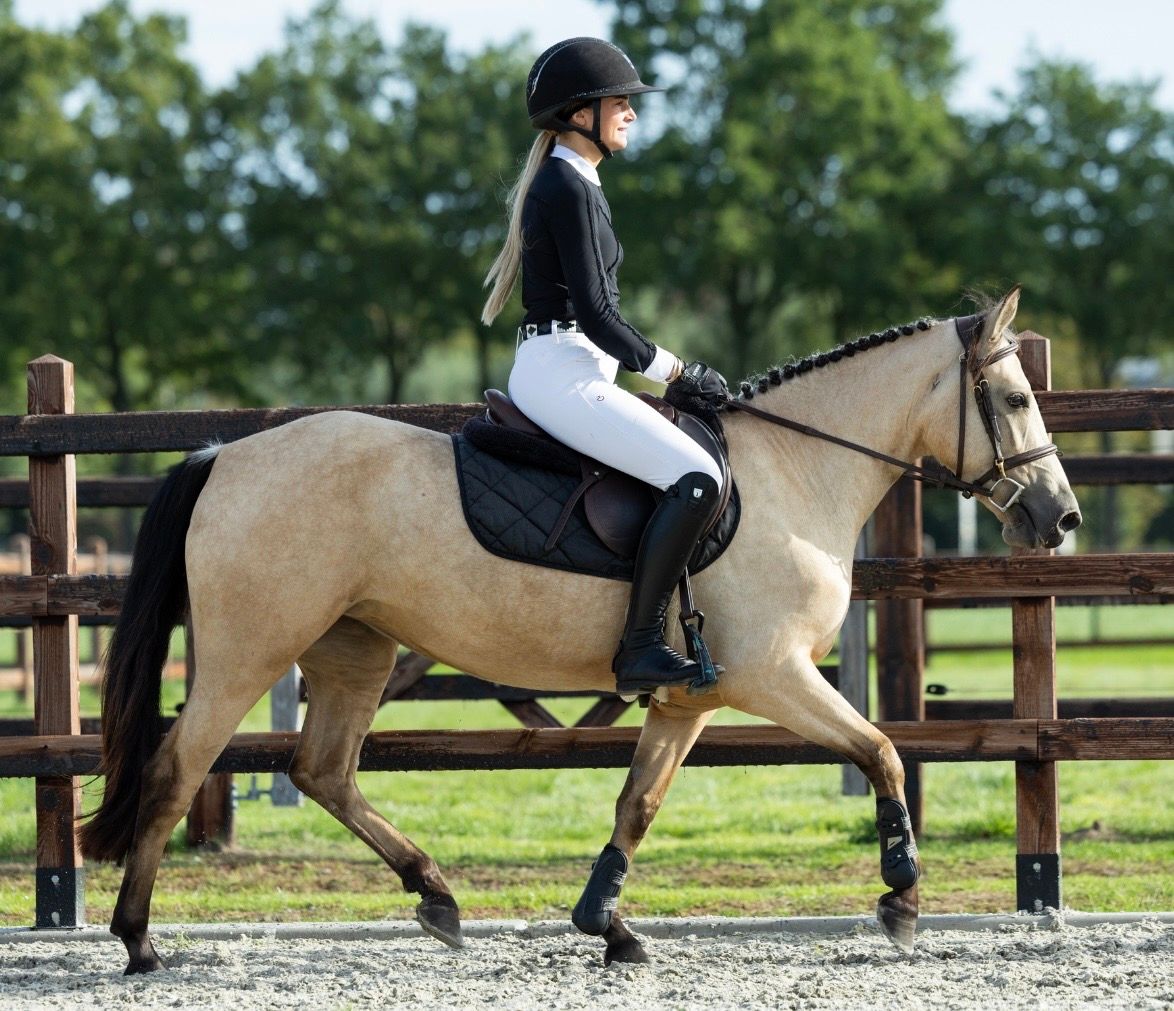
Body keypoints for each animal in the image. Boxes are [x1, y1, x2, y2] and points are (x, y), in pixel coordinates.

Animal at [80, 286, 1080, 974]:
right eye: (1015, 399)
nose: (1059, 517)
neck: (796, 468)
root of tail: (225, 454)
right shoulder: (774, 675)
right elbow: (881, 750)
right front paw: (901, 894)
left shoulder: (689, 699)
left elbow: (638, 803)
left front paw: (609, 924)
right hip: (249, 651)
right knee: (178, 769)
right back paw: (138, 940)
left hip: (356, 648)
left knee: (322, 770)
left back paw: (437, 896)